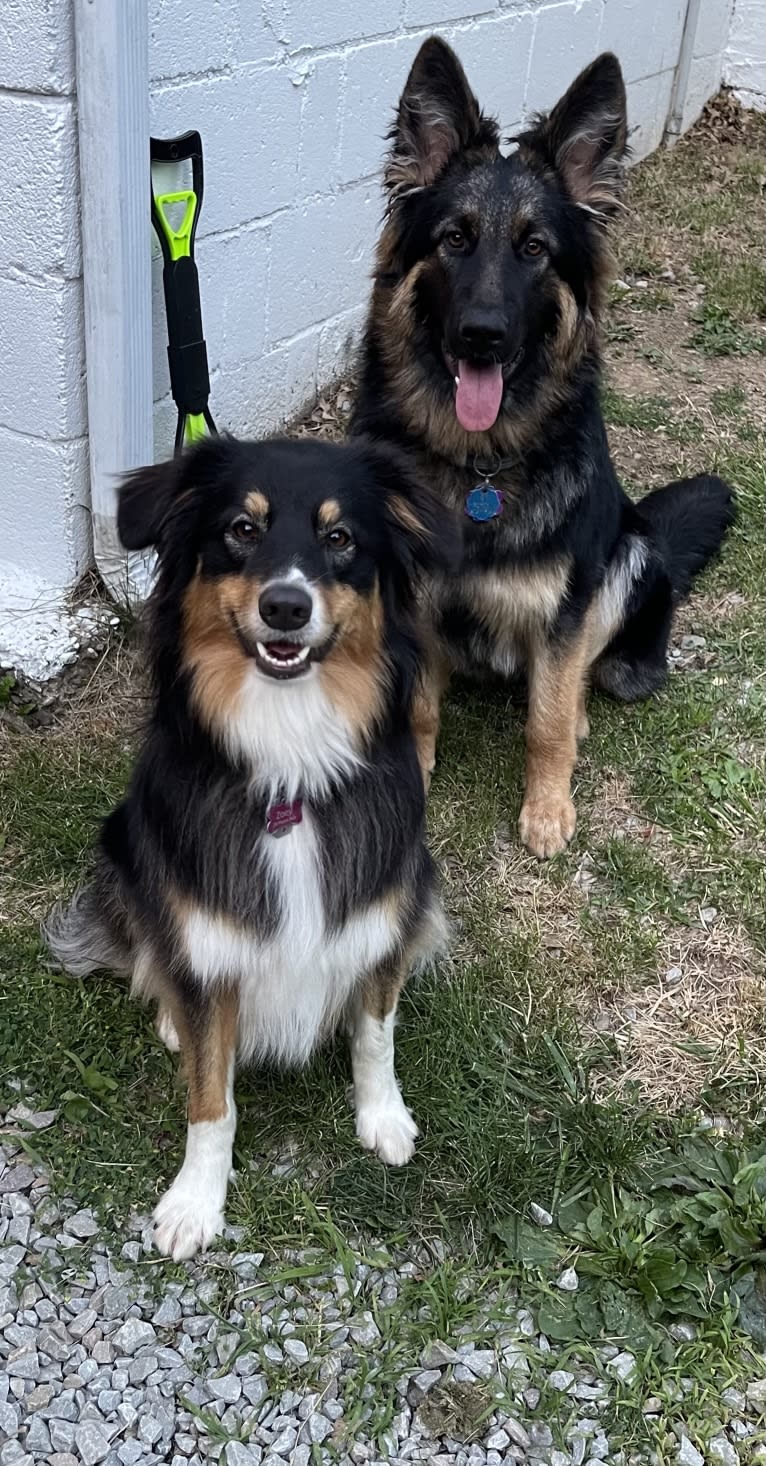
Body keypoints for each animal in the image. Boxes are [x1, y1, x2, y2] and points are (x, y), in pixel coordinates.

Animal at [46, 433, 456, 1260]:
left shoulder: (384, 912)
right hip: (126, 842)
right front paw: (195, 1203)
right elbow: (213, 1099)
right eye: (242, 528)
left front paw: (383, 1118)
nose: (286, 606)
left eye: (341, 538)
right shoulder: (207, 947)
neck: (289, 760)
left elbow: (375, 1034)